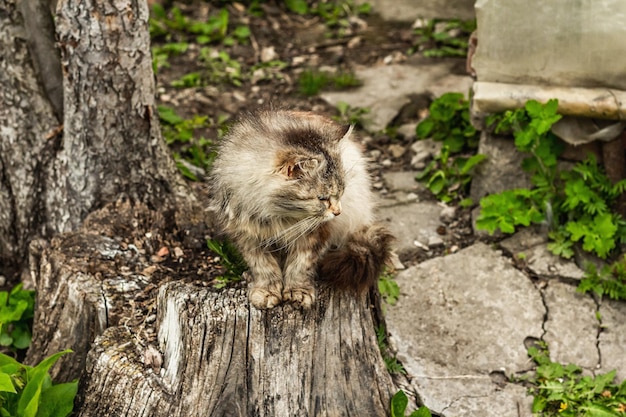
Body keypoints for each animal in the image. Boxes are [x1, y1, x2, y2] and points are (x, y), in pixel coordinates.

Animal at [208, 109, 390, 308]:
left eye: (341, 193)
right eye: (322, 198)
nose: (337, 212)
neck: (277, 216)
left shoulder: (316, 233)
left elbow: (301, 265)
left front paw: (298, 292)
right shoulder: (247, 235)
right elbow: (263, 266)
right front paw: (267, 291)